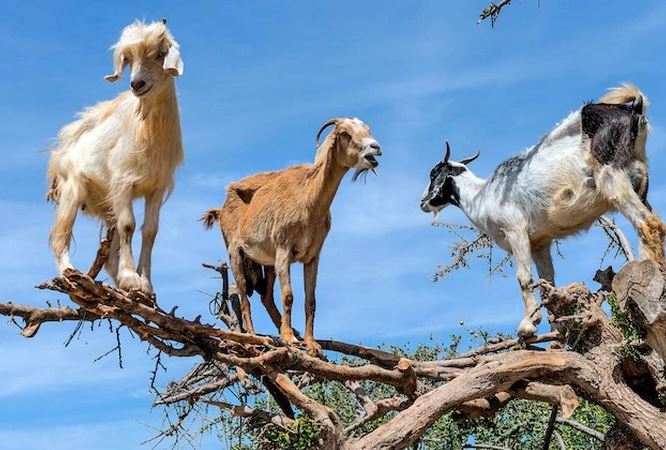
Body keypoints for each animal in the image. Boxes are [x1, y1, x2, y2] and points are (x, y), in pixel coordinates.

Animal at [46, 21, 183, 294]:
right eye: (128, 59)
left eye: (160, 54)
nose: (136, 84)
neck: (146, 129)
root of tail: (59, 152)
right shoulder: (122, 183)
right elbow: (129, 224)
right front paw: (131, 278)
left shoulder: (156, 187)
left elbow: (150, 231)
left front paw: (145, 284)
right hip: (71, 191)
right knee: (59, 236)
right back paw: (69, 273)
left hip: (106, 203)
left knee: (109, 254)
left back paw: (117, 283)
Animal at [201, 117, 378, 356]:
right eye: (344, 133)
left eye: (367, 129)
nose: (375, 148)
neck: (308, 200)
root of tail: (221, 208)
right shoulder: (284, 250)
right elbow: (288, 295)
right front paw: (289, 338)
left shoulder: (312, 256)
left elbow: (310, 300)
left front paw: (311, 344)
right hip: (236, 254)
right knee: (244, 296)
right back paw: (253, 337)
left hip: (267, 263)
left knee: (265, 296)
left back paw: (289, 331)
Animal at [420, 84, 664, 338]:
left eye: (433, 174)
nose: (423, 202)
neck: (483, 195)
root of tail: (634, 110)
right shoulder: (540, 242)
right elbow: (547, 284)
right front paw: (557, 334)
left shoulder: (515, 229)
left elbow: (523, 277)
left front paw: (527, 325)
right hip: (639, 181)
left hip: (612, 176)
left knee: (647, 223)